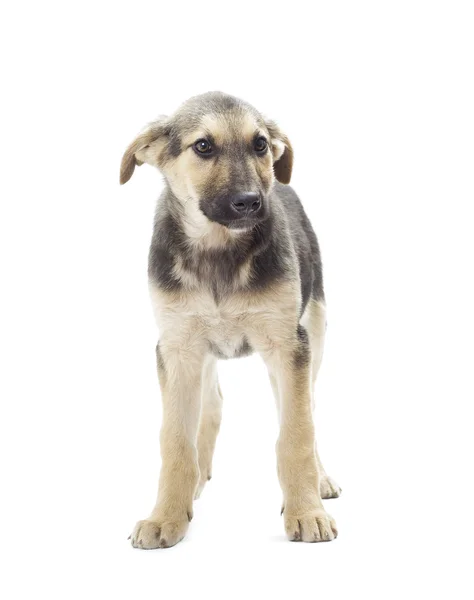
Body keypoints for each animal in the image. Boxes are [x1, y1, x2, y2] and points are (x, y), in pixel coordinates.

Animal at [118, 92, 340, 548]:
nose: (250, 202)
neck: (218, 249)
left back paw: (320, 480)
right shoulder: (177, 349)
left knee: (306, 405)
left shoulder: (288, 345)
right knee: (213, 403)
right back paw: (197, 481)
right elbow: (175, 440)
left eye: (260, 144)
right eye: (203, 146)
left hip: (315, 332)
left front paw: (306, 511)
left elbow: (297, 433)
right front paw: (166, 516)